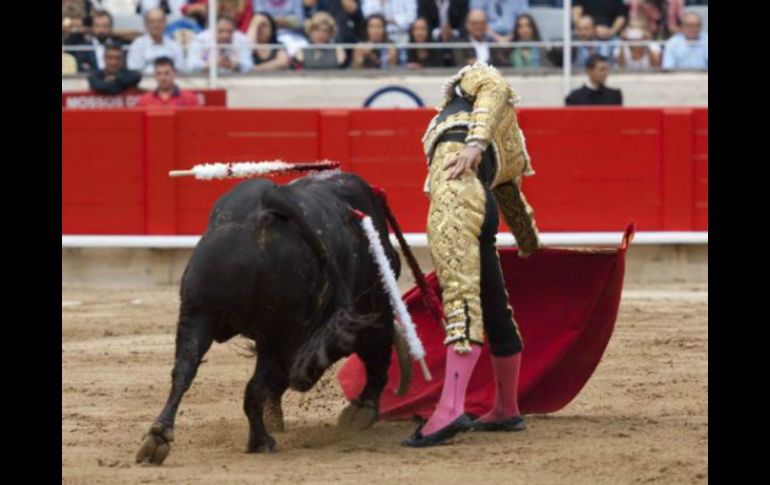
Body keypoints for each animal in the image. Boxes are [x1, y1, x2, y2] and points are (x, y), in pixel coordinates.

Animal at [137, 172, 414, 464]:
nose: (304, 381)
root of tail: (265, 205)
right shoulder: (375, 313)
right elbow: (377, 357)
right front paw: (364, 410)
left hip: (197, 313)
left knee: (183, 370)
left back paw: (157, 438)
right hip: (277, 333)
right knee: (255, 387)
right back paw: (261, 441)